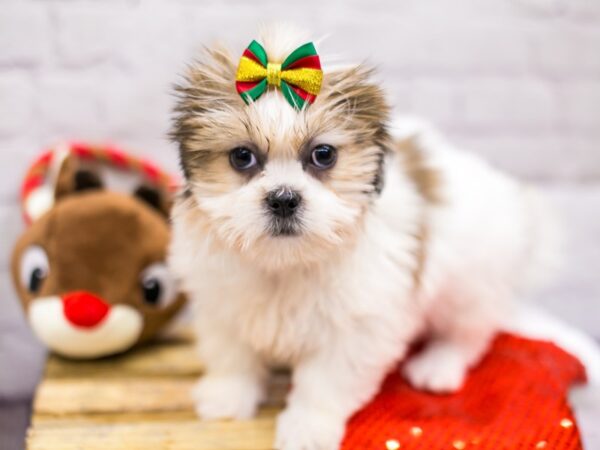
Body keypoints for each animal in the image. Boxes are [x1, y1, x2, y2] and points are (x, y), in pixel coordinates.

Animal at [166, 26, 560, 450]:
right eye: (242, 157)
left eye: (323, 154)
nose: (284, 198)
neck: (287, 260)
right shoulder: (222, 303)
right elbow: (232, 353)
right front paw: (227, 395)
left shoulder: (358, 326)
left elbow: (325, 380)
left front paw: (308, 426)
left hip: (469, 283)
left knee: (469, 331)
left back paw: (439, 364)